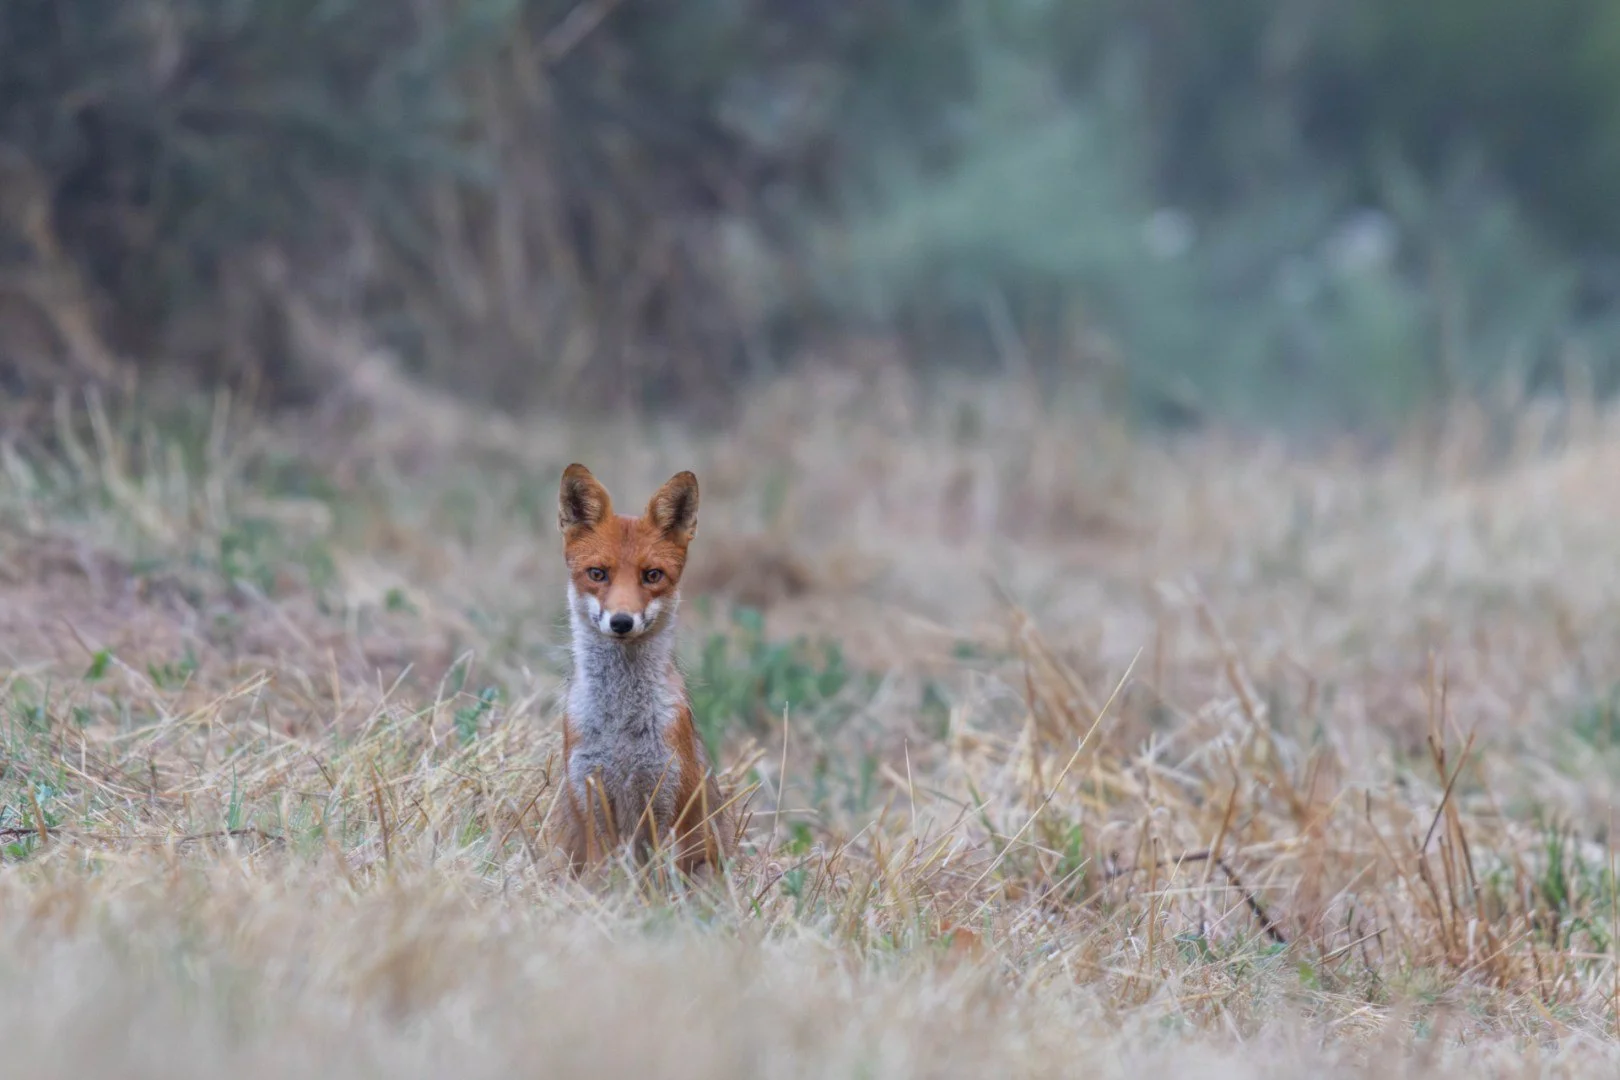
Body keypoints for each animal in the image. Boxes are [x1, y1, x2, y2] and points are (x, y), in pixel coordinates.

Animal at [552, 463, 734, 877]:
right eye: (597, 574)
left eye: (652, 575)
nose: (621, 621)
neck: (620, 726)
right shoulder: (590, 797)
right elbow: (604, 877)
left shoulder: (666, 803)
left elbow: (658, 880)